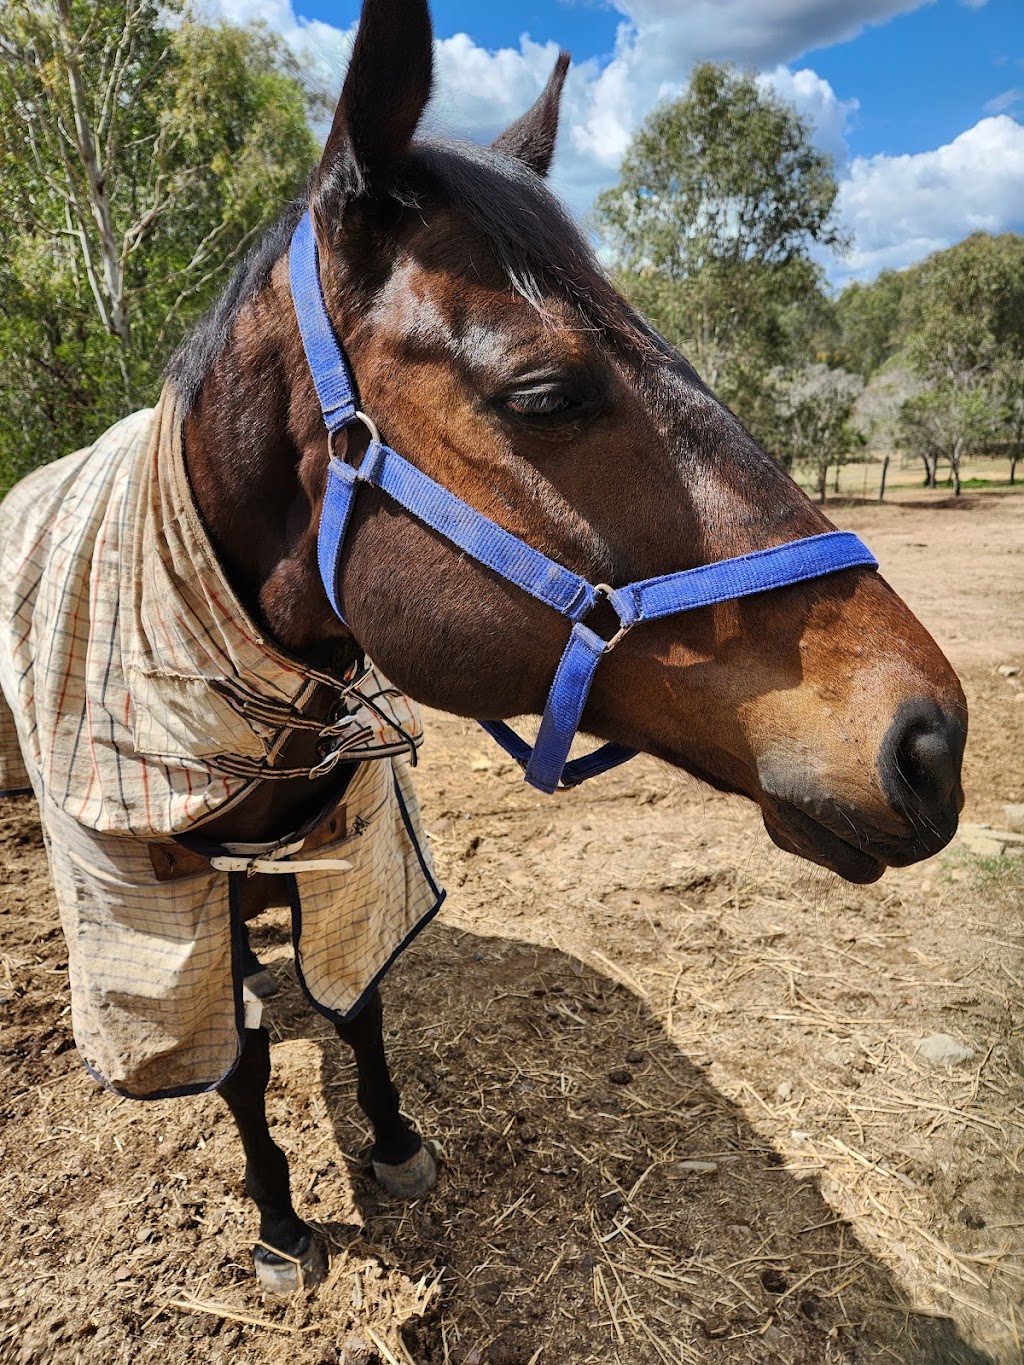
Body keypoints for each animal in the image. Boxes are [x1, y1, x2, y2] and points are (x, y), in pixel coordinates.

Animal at [0, 0, 966, 1296]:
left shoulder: (356, 848)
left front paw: (396, 1139)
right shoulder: (152, 906)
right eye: (545, 392)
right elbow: (239, 1061)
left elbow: (358, 999)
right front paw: (280, 1221)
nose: (930, 741)